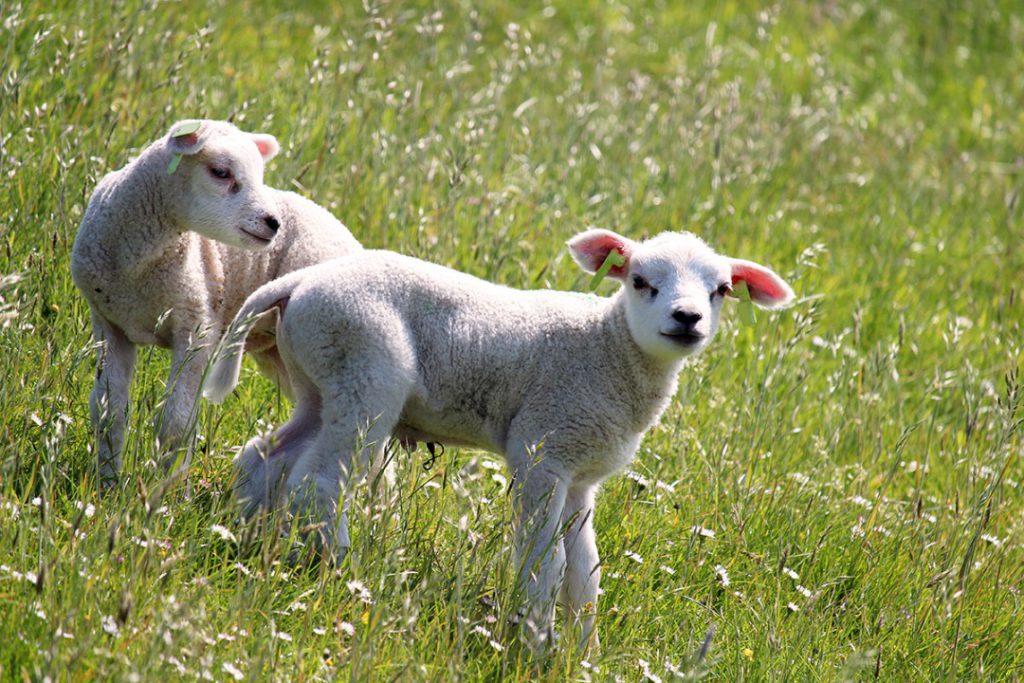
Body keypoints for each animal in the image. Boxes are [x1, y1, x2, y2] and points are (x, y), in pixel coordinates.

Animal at [72, 118, 360, 491]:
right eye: (221, 172)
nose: (273, 223)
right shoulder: (109, 324)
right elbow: (108, 410)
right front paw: (106, 485)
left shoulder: (197, 327)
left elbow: (176, 422)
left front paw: (164, 491)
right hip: (284, 354)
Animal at [199, 228, 790, 651]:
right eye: (640, 281)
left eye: (721, 291)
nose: (687, 318)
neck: (606, 349)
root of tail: (298, 285)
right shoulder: (541, 450)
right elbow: (545, 562)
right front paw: (536, 643)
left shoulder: (579, 474)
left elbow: (585, 573)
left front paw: (583, 654)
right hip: (364, 372)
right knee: (319, 481)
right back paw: (339, 570)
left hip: (317, 381)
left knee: (266, 456)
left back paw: (244, 534)